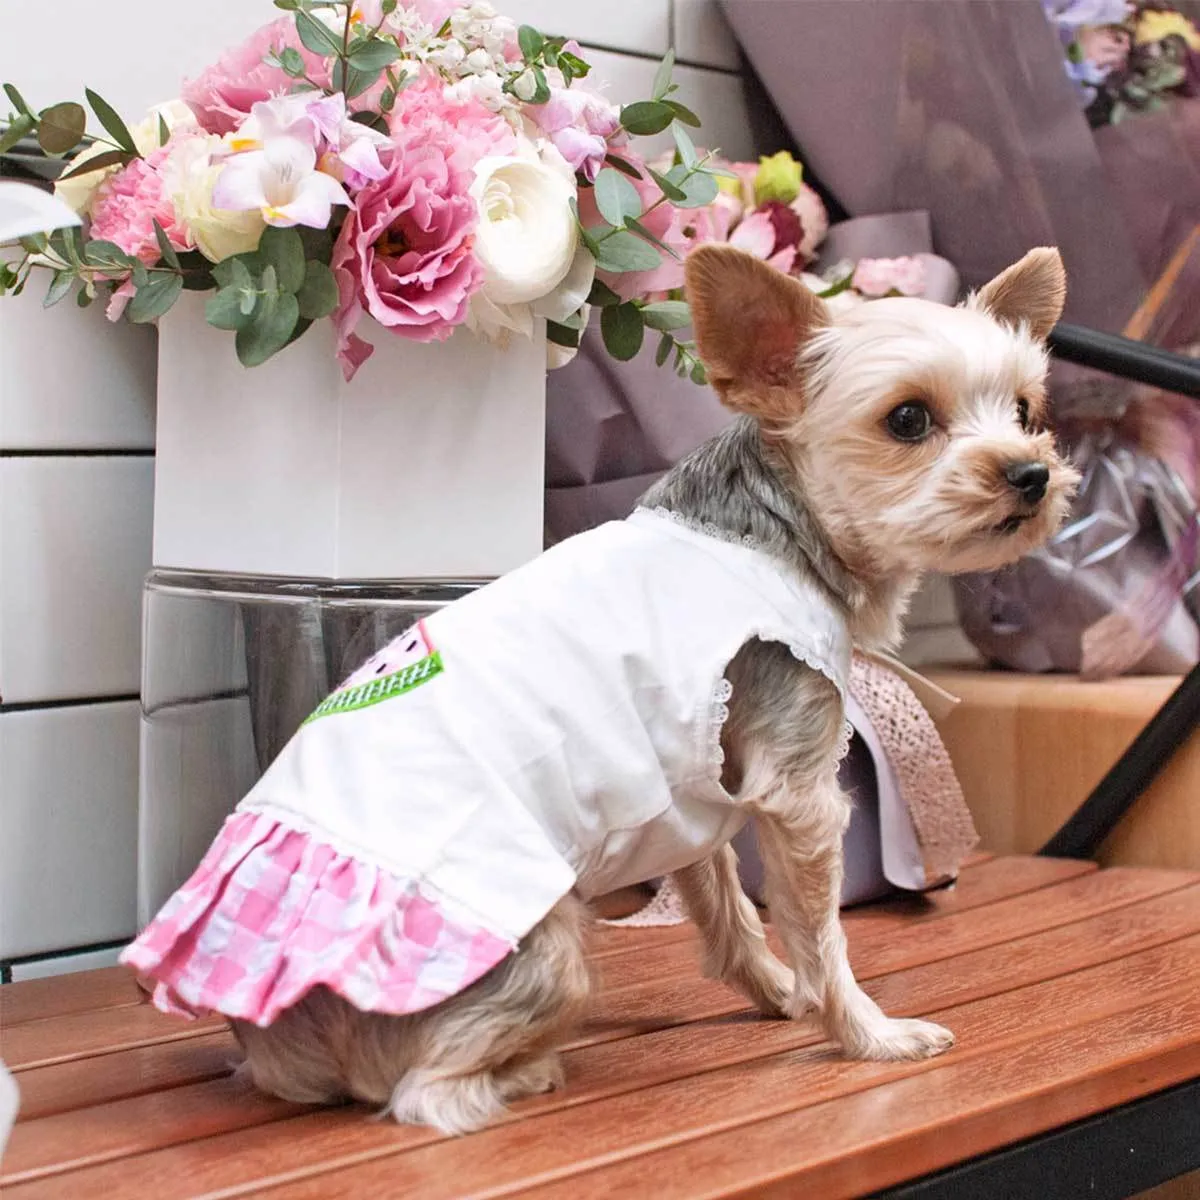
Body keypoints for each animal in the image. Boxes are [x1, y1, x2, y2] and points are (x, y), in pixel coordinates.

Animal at [129, 241, 1080, 1132]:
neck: (775, 531)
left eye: (1026, 412)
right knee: (425, 1094)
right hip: (542, 948)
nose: (1031, 473)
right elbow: (821, 935)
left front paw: (778, 992)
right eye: (909, 418)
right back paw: (524, 1073)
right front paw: (869, 1033)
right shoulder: (798, 786)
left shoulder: (698, 780)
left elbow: (726, 907)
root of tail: (262, 1034)